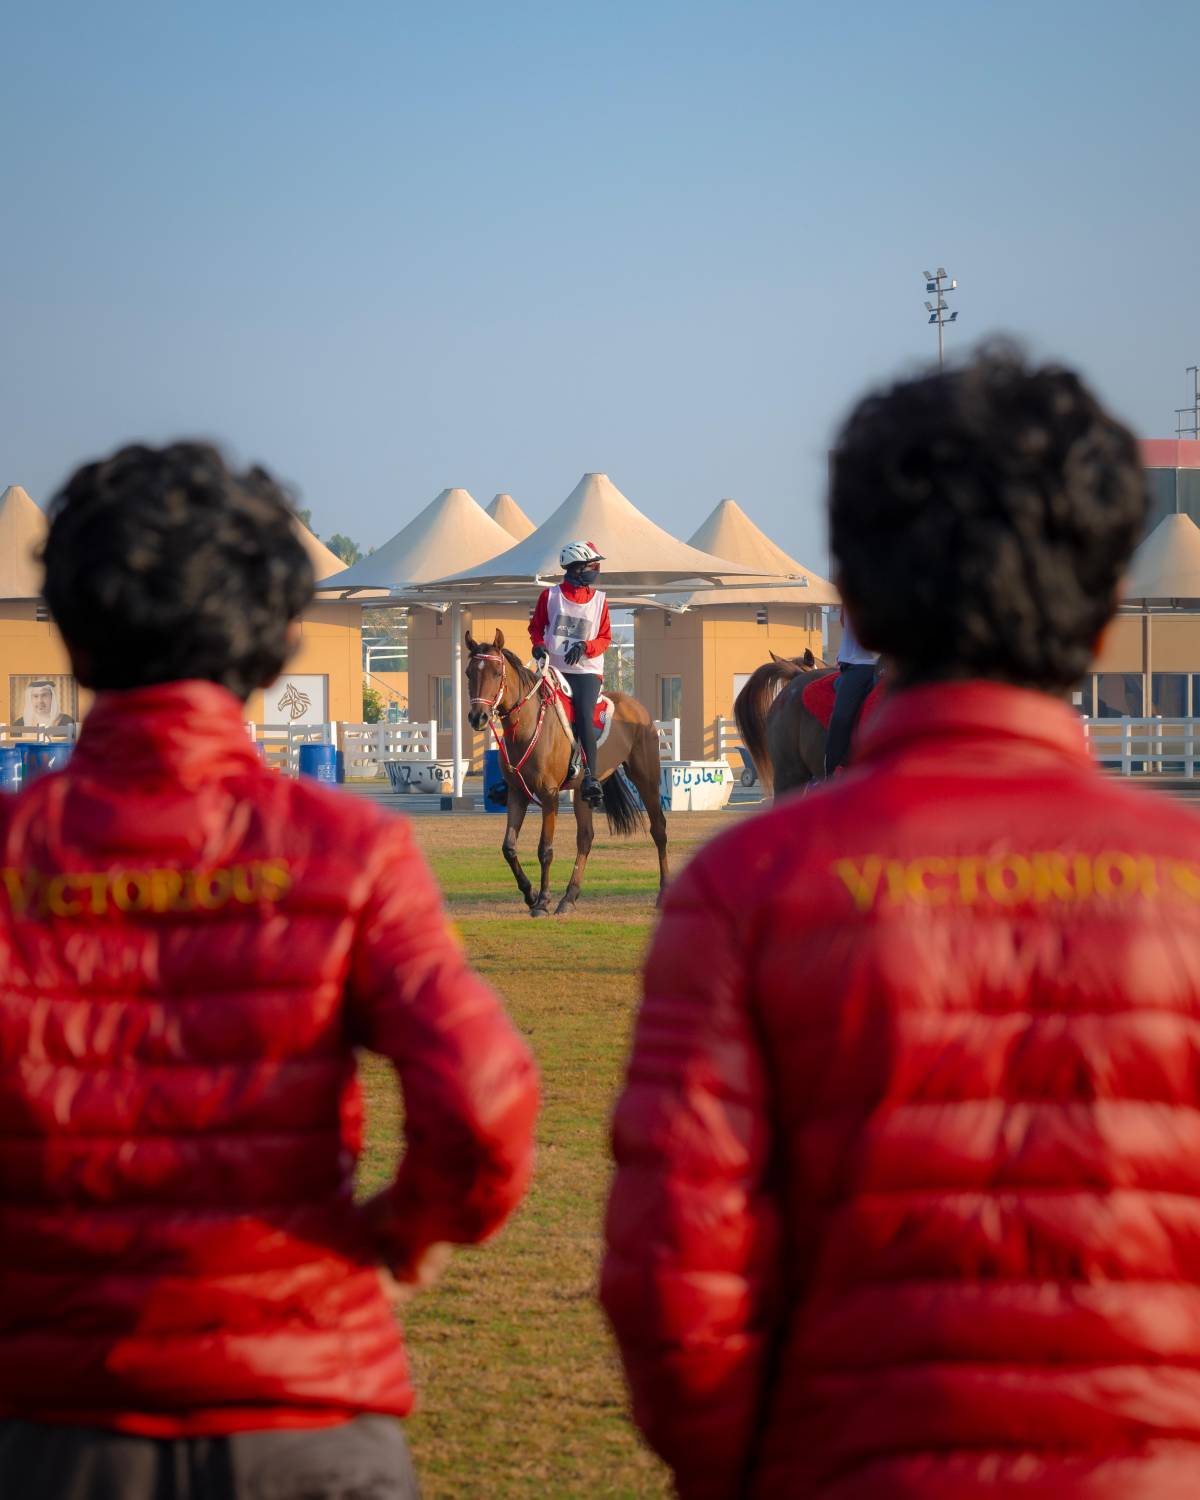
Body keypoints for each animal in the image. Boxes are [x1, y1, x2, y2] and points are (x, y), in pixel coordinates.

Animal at [465, 630, 669, 912]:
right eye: (468, 673)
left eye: (497, 673)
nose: (479, 717)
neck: (527, 725)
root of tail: (636, 706)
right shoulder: (517, 793)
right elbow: (509, 847)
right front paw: (530, 894)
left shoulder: (549, 794)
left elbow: (545, 849)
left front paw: (542, 901)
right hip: (583, 793)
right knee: (585, 837)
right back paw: (569, 897)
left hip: (646, 777)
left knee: (658, 829)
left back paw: (664, 892)